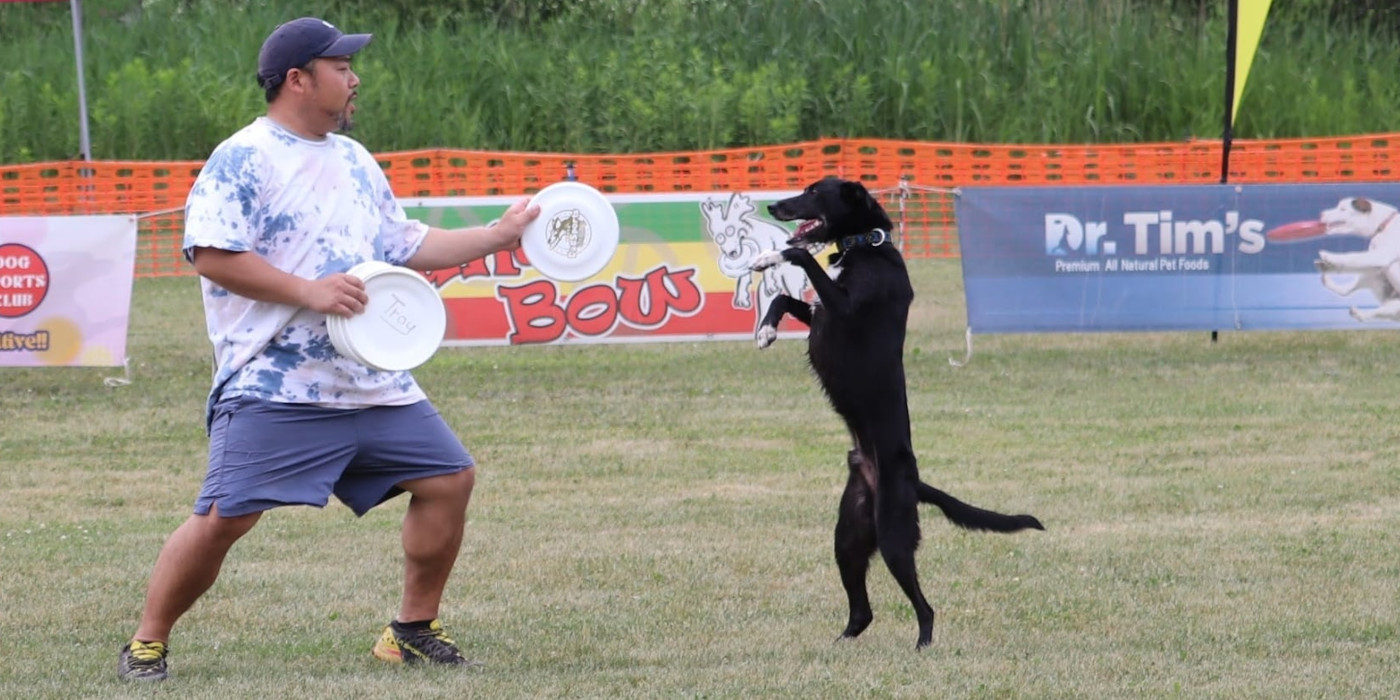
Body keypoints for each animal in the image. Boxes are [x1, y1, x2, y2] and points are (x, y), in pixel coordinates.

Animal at [749, 176, 1044, 650]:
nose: (774, 206)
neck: (865, 246)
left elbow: (800, 257)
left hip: (892, 536)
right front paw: (766, 331)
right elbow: (783, 297)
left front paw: (767, 257)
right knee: (863, 610)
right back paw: (843, 642)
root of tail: (913, 481)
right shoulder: (820, 313)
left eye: (813, 191)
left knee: (925, 606)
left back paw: (922, 645)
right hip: (848, 537)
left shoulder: (841, 309)